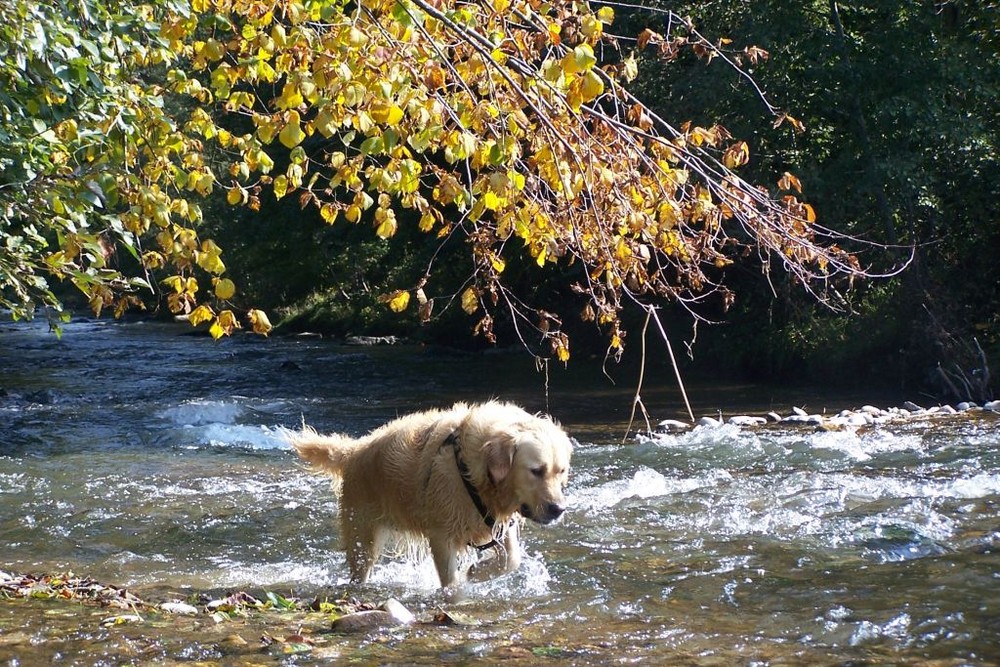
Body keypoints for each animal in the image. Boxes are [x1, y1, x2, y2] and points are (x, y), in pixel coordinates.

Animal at [286, 402, 576, 588]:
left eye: (561, 471)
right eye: (536, 471)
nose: (558, 509)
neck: (472, 469)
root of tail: (354, 450)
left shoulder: (497, 522)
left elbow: (511, 559)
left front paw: (476, 572)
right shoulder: (441, 534)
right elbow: (451, 583)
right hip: (362, 535)